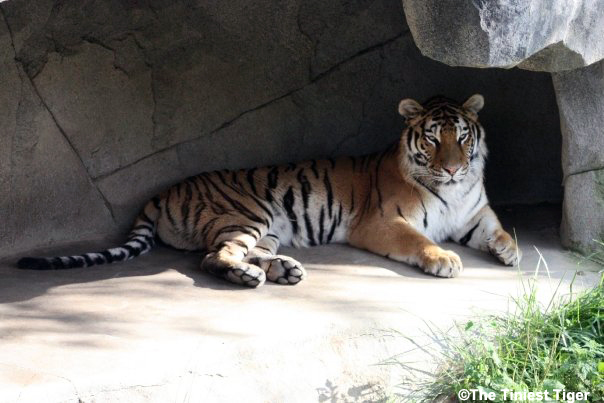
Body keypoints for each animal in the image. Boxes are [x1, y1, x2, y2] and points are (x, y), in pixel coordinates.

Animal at [17, 94, 520, 288]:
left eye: (463, 137)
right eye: (433, 139)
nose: (453, 168)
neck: (454, 191)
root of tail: (162, 193)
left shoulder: (475, 213)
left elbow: (499, 228)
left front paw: (510, 252)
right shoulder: (381, 221)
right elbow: (418, 240)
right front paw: (445, 259)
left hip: (270, 229)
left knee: (242, 254)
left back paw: (284, 270)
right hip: (246, 215)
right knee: (213, 257)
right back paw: (249, 277)